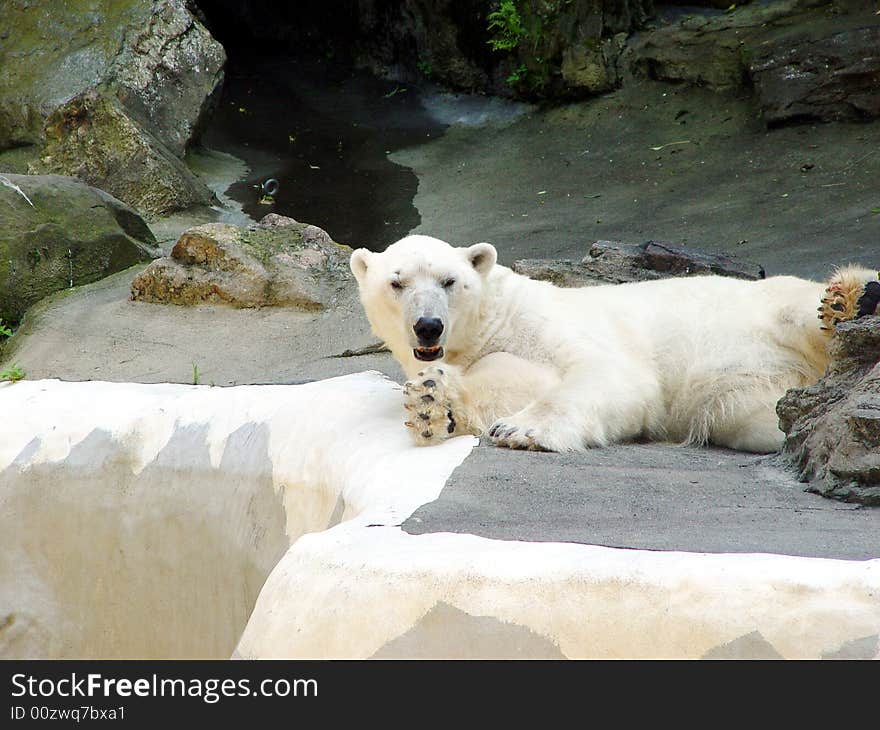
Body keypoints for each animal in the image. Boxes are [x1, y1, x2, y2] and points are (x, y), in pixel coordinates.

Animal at [348, 235, 872, 450]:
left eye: (449, 280)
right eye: (396, 283)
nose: (429, 326)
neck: (492, 320)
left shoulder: (551, 322)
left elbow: (609, 375)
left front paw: (521, 430)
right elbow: (511, 380)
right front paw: (433, 403)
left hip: (770, 309)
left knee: (804, 311)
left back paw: (849, 301)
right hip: (754, 395)